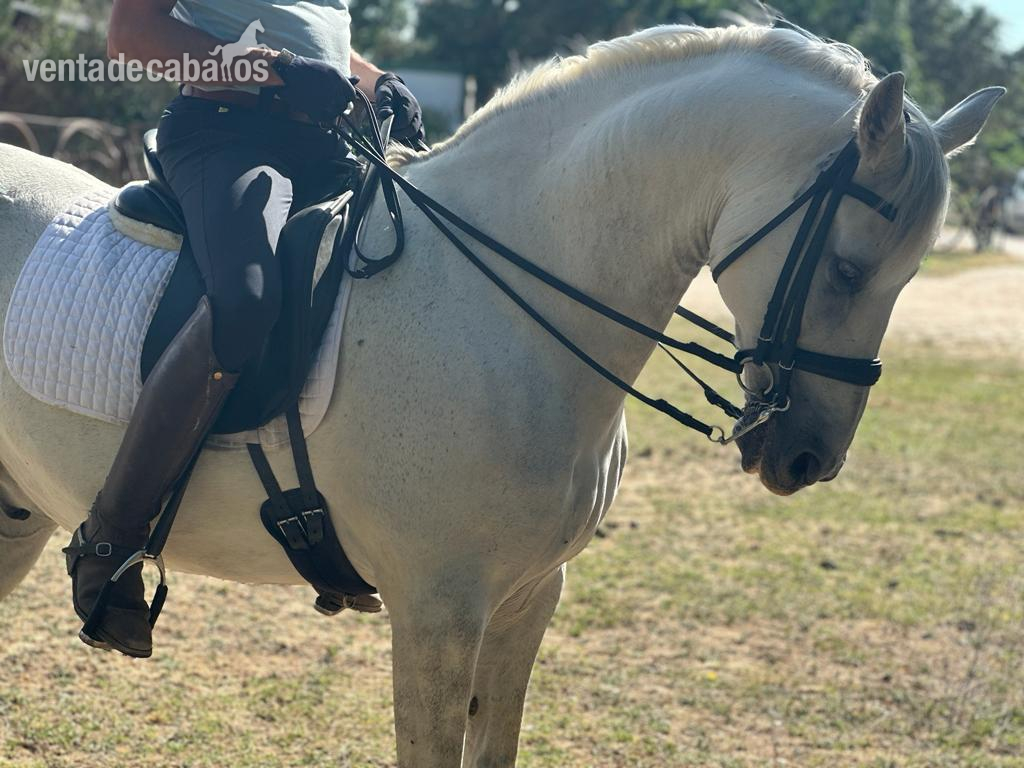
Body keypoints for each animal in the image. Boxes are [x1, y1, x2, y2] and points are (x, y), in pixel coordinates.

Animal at [0, 24, 1002, 768]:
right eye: (846, 268)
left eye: (908, 276)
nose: (806, 457)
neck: (503, 309)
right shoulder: (437, 614)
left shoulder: (528, 601)